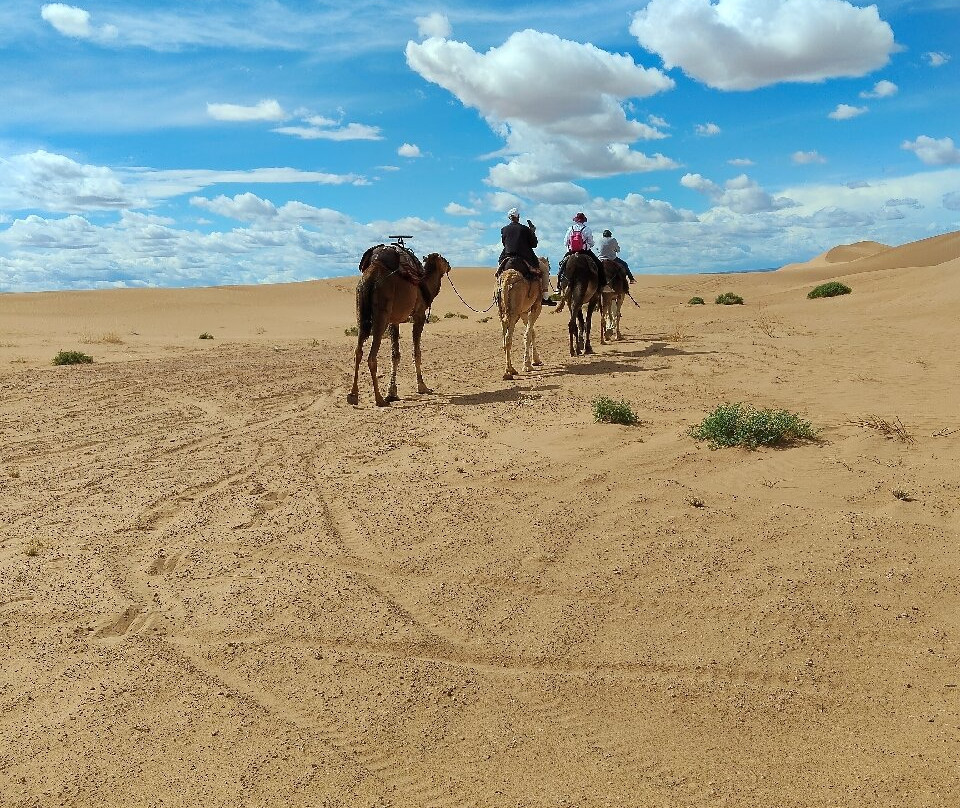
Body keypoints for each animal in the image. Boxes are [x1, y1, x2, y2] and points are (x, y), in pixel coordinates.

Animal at [347, 251, 452, 407]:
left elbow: (395, 355)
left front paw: (392, 392)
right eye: (443, 259)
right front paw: (422, 387)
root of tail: (369, 277)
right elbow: (416, 352)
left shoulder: (394, 321)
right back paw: (379, 399)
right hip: (381, 315)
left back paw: (353, 395)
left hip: (361, 313)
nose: (449, 265)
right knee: (371, 356)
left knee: (358, 351)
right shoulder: (419, 315)